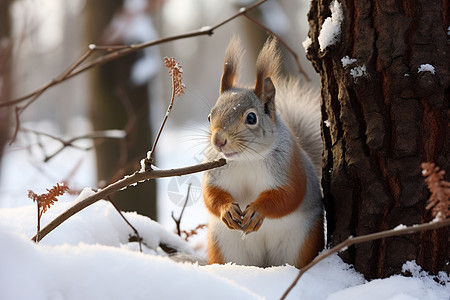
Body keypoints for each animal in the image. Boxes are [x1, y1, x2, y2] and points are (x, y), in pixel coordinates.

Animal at [202, 36, 326, 268]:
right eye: (209, 116)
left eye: (251, 118)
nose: (218, 141)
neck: (246, 160)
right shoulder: (215, 170)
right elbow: (210, 194)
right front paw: (227, 210)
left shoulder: (290, 167)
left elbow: (289, 195)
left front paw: (257, 210)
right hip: (225, 248)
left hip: (302, 243)